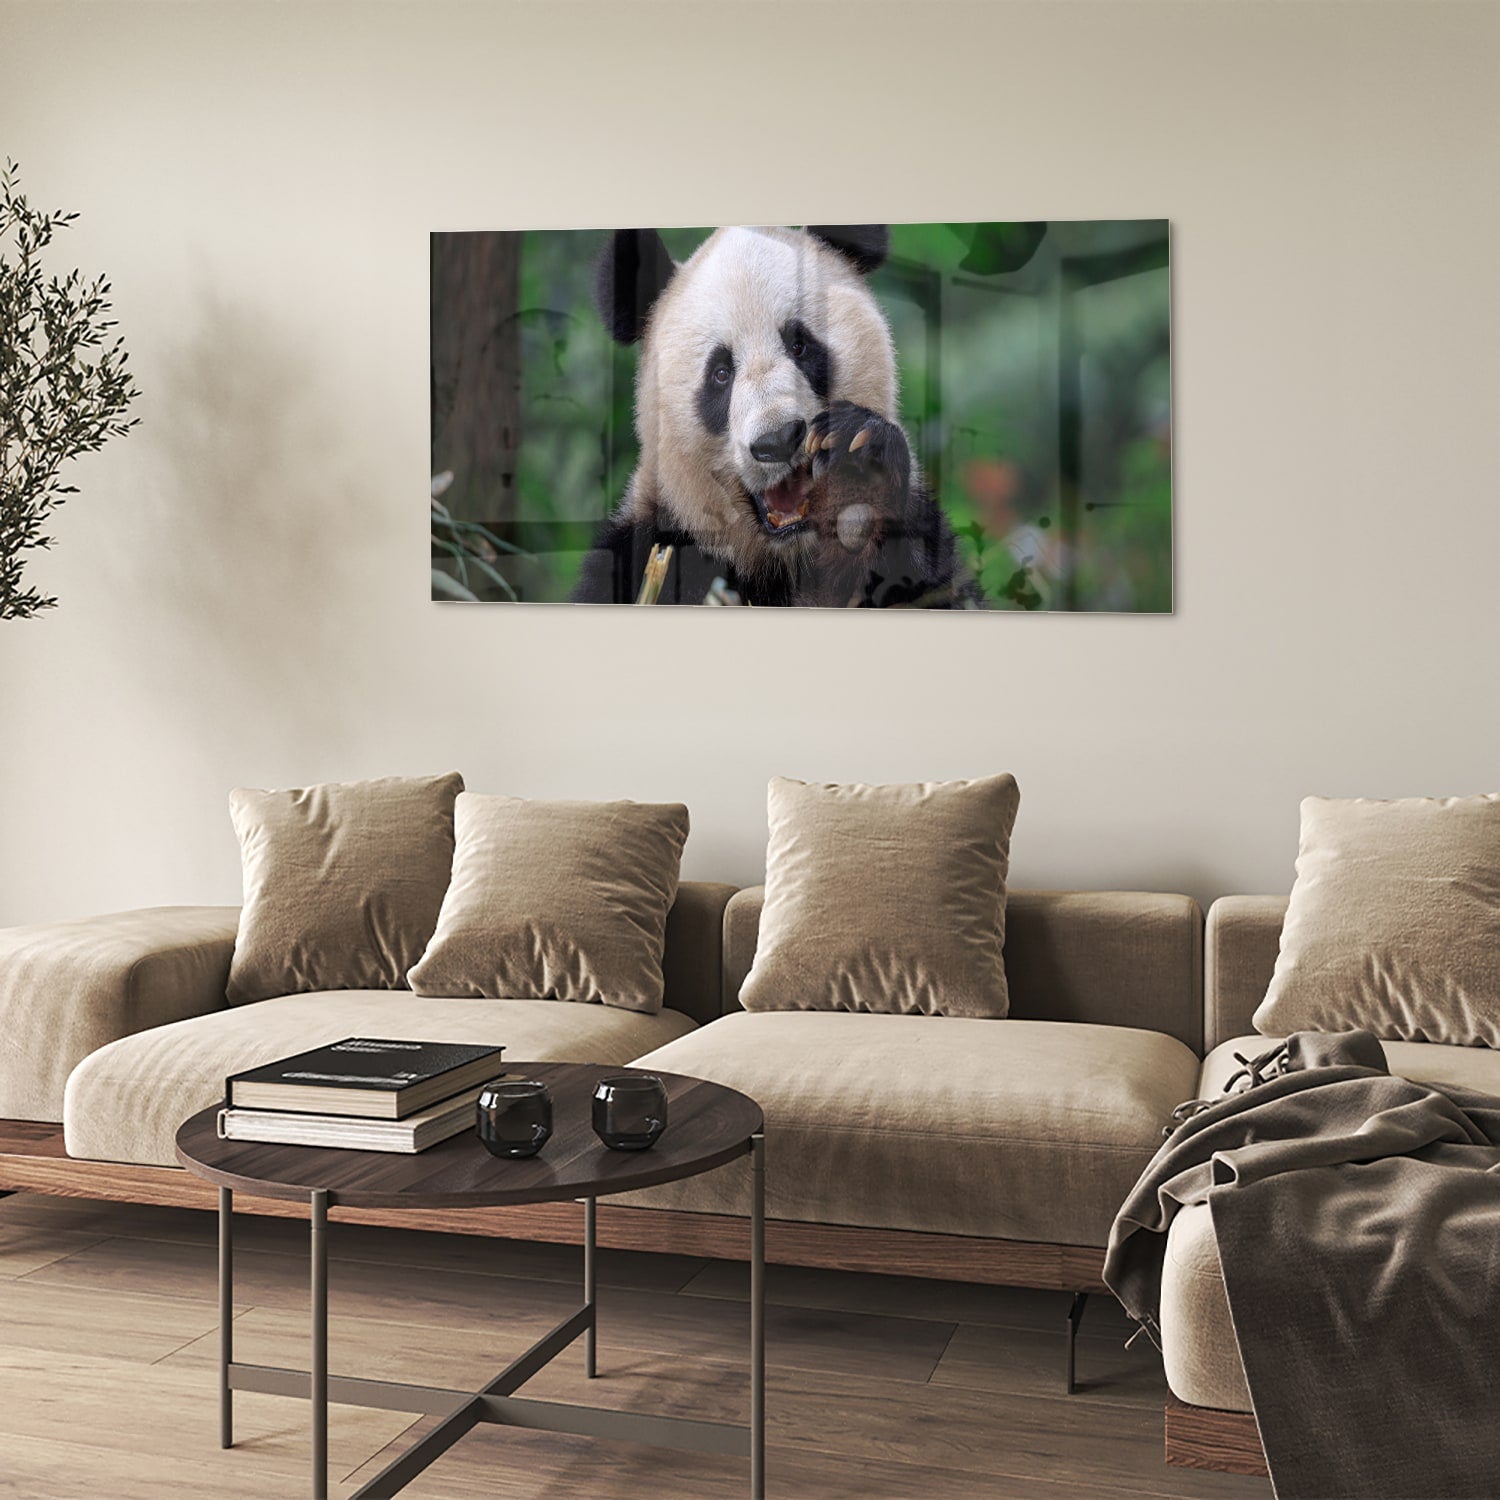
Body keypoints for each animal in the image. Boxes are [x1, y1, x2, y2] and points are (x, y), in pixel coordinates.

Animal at [573, 224, 976, 608]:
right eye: (721, 373)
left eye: (799, 345)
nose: (778, 440)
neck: (785, 560)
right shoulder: (647, 550)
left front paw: (860, 476)